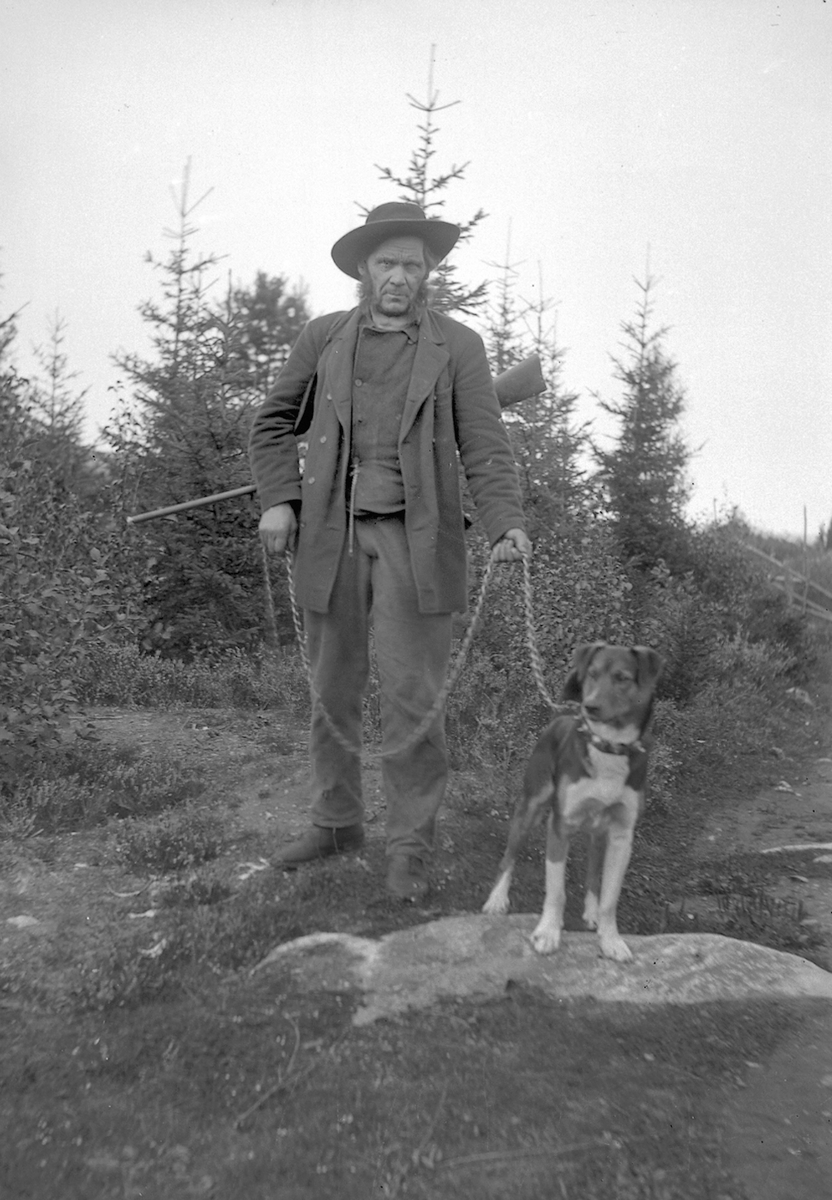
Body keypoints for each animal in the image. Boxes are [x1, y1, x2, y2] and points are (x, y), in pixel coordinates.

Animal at [480, 643, 662, 960]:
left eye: (622, 678)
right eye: (592, 674)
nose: (590, 706)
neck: (609, 748)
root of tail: (563, 715)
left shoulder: (622, 836)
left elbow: (610, 899)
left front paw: (611, 940)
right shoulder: (560, 825)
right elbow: (557, 891)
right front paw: (547, 933)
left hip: (599, 832)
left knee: (593, 872)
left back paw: (591, 911)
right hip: (531, 807)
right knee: (508, 857)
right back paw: (497, 900)